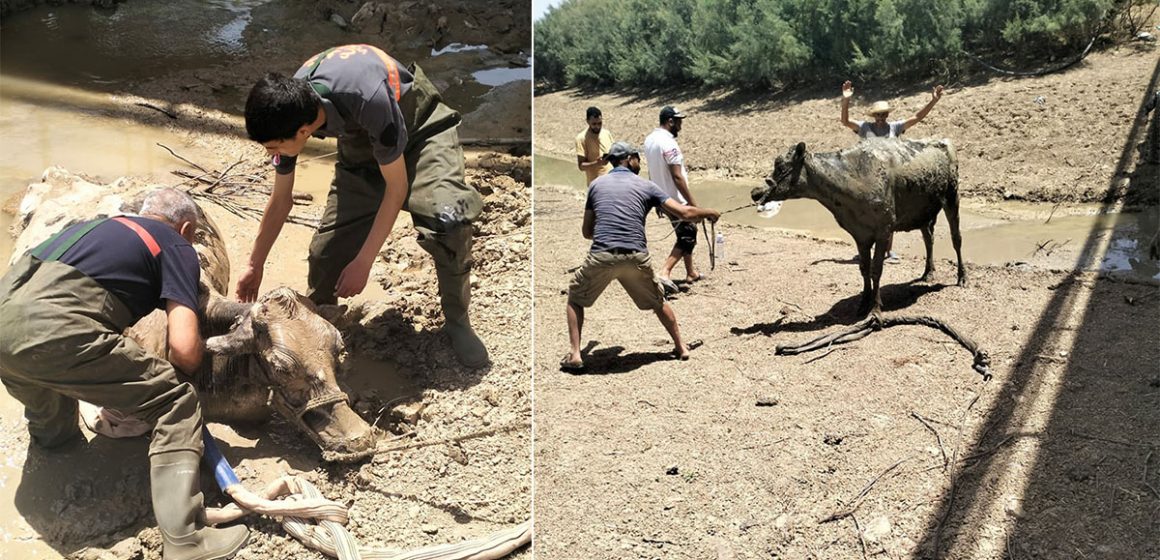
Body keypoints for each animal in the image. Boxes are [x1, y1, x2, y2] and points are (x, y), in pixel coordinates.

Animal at [751, 139, 960, 315]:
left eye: (781, 167)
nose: (755, 192)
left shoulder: (884, 230)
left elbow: (876, 269)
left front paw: (875, 307)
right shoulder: (860, 234)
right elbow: (864, 269)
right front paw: (863, 303)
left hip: (952, 197)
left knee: (956, 239)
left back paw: (961, 278)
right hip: (923, 213)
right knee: (928, 239)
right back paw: (927, 273)